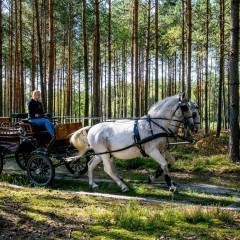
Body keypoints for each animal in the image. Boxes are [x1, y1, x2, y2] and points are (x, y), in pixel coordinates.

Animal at [70, 93, 198, 191]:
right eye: (185, 107)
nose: (193, 127)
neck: (155, 125)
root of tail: (92, 127)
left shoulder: (162, 149)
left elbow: (170, 162)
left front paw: (156, 178)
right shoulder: (152, 151)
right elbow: (165, 164)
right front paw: (170, 185)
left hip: (100, 153)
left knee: (90, 165)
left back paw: (93, 184)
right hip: (104, 153)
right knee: (108, 169)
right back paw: (123, 186)